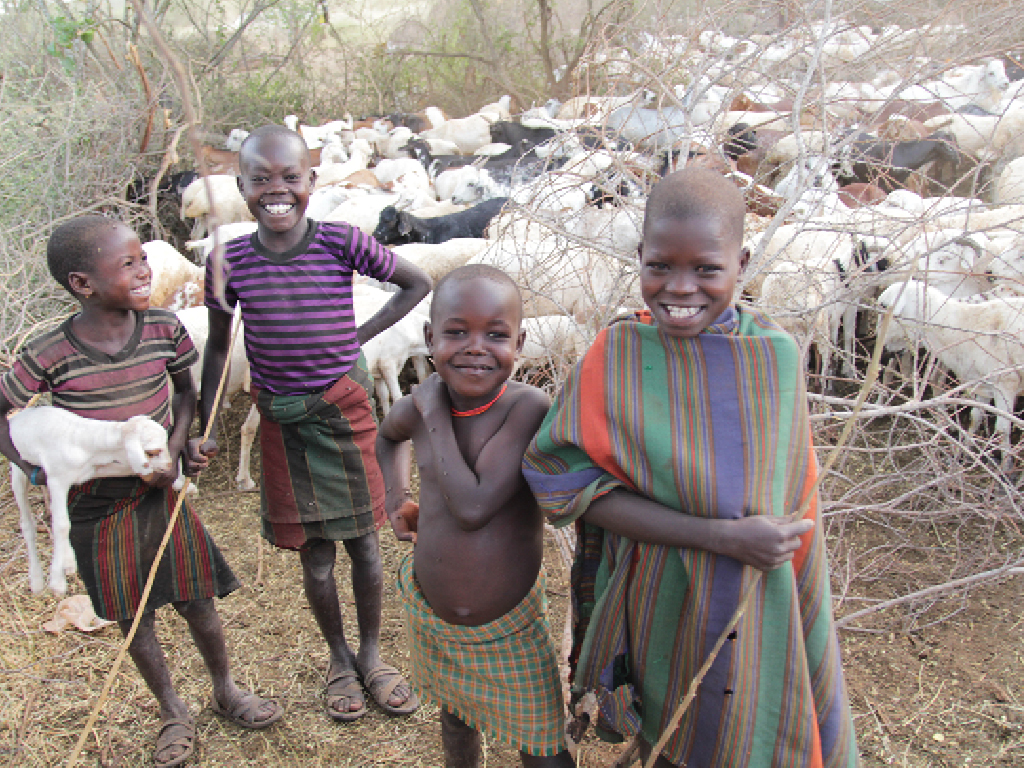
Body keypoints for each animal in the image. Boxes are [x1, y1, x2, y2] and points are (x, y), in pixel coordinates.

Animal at [9, 409, 172, 593]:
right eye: (153, 452)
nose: (169, 465)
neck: (85, 441)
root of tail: (18, 415)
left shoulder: (98, 469)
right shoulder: (56, 479)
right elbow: (61, 525)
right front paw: (58, 580)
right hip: (18, 471)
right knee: (28, 525)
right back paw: (37, 579)